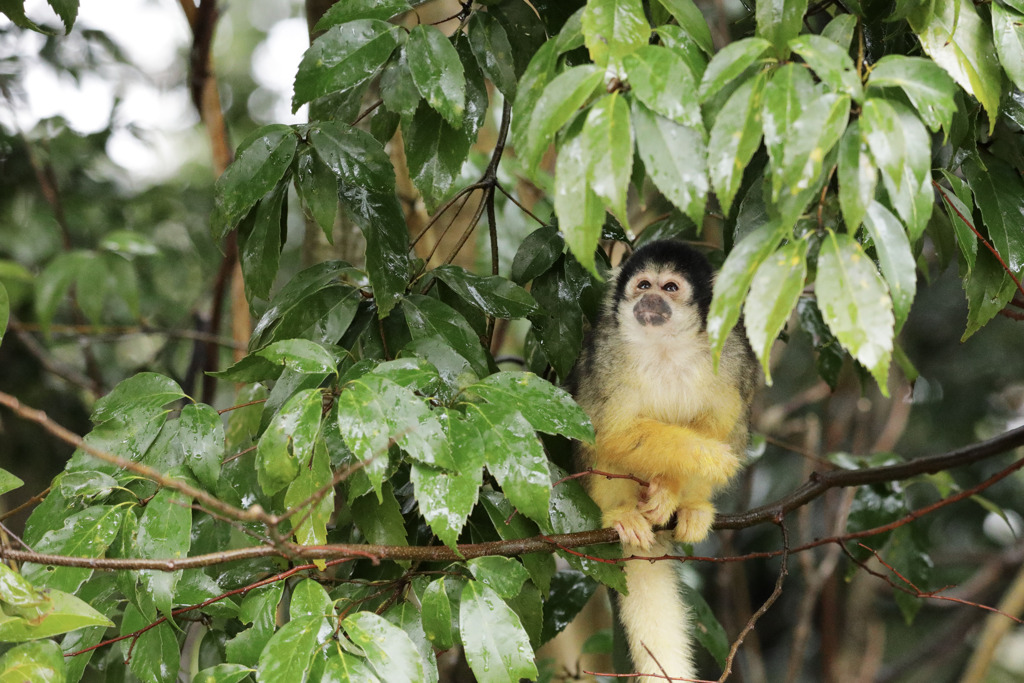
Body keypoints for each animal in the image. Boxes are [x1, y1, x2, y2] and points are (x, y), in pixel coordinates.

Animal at [569, 240, 761, 683]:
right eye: (643, 285)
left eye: (670, 287)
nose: (650, 300)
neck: (666, 345)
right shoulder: (607, 352)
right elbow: (613, 432)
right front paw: (706, 456)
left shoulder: (732, 351)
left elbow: (723, 421)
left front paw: (671, 491)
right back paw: (623, 512)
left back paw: (689, 507)